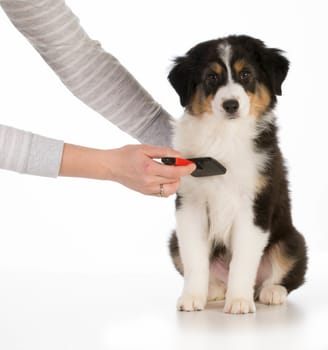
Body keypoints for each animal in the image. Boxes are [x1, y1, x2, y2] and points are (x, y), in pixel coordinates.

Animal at [169, 34, 308, 314]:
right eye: (212, 77)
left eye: (246, 74)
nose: (230, 105)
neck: (225, 136)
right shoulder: (190, 204)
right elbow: (194, 257)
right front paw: (192, 298)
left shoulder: (255, 205)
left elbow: (243, 260)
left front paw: (240, 301)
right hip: (173, 241)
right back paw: (213, 290)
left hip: (292, 241)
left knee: (284, 274)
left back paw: (271, 292)